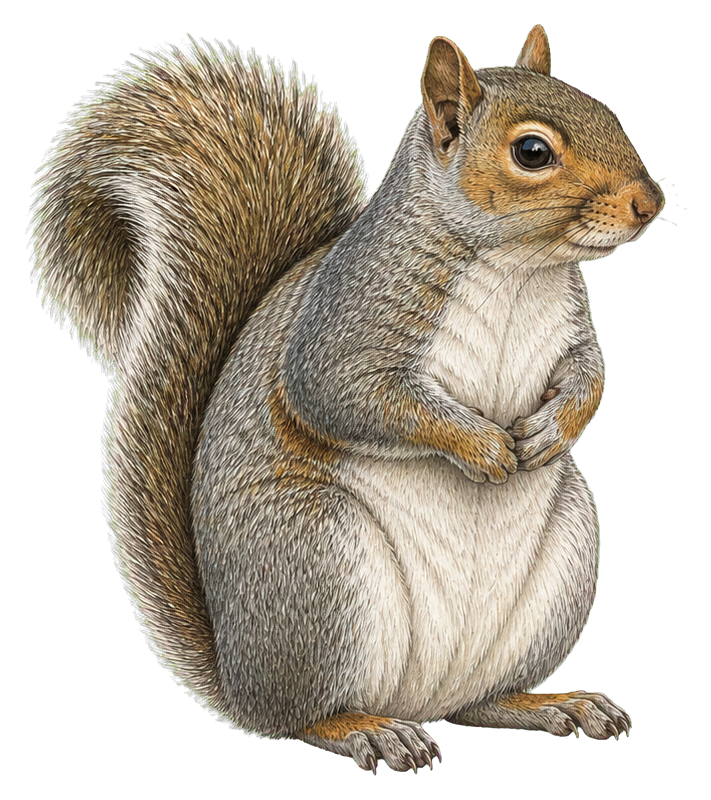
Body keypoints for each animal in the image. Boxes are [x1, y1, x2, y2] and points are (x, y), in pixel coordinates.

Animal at [30, 26, 663, 772]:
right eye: (531, 152)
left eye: (609, 113)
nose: (650, 202)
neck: (518, 267)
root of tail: (237, 679)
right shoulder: (343, 329)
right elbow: (350, 396)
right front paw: (482, 445)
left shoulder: (570, 334)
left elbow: (590, 377)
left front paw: (551, 432)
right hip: (318, 563)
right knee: (301, 718)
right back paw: (366, 729)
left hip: (563, 563)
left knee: (478, 703)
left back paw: (551, 704)